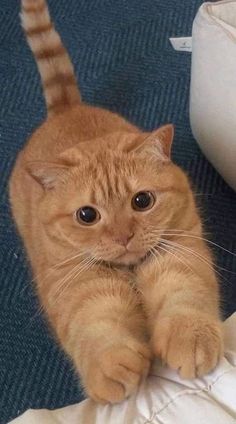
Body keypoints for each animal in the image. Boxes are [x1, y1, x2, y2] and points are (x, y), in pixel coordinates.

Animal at [9, 0, 223, 404]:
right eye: (86, 215)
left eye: (142, 200)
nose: (123, 237)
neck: (129, 270)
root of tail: (67, 108)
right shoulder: (76, 282)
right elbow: (96, 321)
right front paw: (112, 365)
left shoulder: (180, 249)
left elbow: (184, 292)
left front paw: (190, 337)